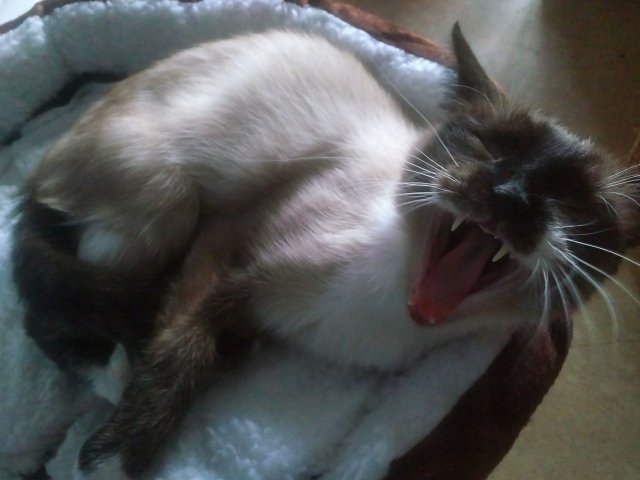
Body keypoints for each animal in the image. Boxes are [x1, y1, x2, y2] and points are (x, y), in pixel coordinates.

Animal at [11, 25, 640, 479]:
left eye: (573, 204)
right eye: (485, 147)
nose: (509, 196)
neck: (386, 304)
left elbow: (205, 338)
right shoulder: (224, 240)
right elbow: (180, 346)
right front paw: (120, 457)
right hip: (168, 199)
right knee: (45, 303)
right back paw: (110, 372)